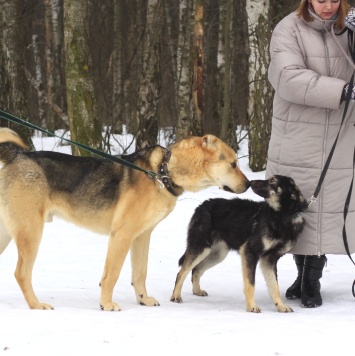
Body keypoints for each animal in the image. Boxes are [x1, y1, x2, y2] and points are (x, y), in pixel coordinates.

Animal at [0, 129, 250, 312]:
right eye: (233, 164)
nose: (249, 185)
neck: (163, 172)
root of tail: (16, 156)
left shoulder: (142, 236)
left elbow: (140, 273)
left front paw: (143, 299)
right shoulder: (122, 235)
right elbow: (111, 275)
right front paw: (106, 304)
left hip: (9, 235)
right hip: (31, 233)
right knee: (21, 273)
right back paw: (36, 305)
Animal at [171, 175, 308, 312]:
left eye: (272, 181)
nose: (251, 182)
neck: (281, 217)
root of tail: (203, 204)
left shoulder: (269, 260)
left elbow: (274, 286)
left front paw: (280, 306)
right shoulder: (250, 252)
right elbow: (251, 283)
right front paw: (251, 306)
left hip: (217, 255)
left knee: (196, 270)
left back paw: (197, 291)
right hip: (200, 248)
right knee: (181, 272)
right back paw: (176, 296)